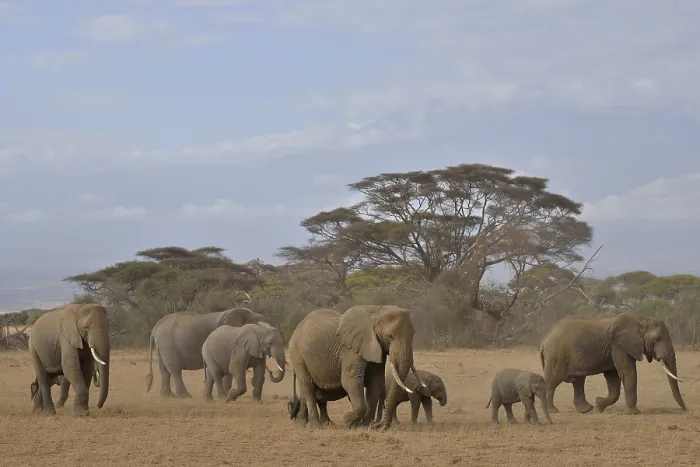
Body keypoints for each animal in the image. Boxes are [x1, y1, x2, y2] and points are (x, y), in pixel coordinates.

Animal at [288, 305, 425, 430]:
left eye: (413, 335)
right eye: (390, 336)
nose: (380, 426)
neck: (378, 311)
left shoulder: (375, 348)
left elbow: (376, 382)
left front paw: (365, 426)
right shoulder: (351, 350)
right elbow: (350, 380)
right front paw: (348, 421)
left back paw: (306, 423)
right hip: (297, 354)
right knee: (307, 385)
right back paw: (315, 426)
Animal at [539, 312, 686, 415]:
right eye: (657, 339)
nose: (686, 410)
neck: (642, 319)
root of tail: (545, 338)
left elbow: (613, 378)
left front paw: (599, 404)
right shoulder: (619, 346)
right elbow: (628, 372)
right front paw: (633, 413)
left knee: (578, 381)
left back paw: (586, 410)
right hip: (557, 355)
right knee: (553, 381)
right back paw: (553, 411)